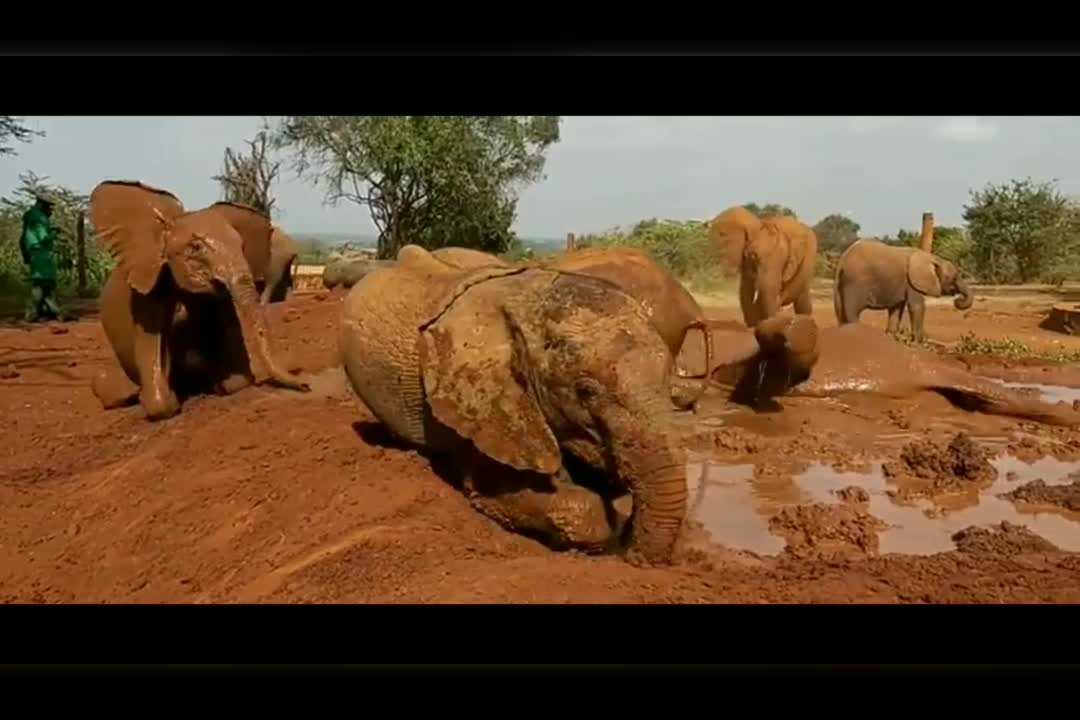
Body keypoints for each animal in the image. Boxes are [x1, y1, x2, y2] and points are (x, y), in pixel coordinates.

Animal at [89, 178, 311, 423]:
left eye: (242, 246)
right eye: (195, 248)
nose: (305, 385)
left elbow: (234, 373)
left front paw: (224, 383)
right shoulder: (149, 286)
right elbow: (153, 347)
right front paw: (161, 401)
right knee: (108, 384)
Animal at [829, 237, 976, 343]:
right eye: (954, 277)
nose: (957, 300)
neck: (933, 258)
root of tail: (842, 260)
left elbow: (896, 308)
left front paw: (892, 336)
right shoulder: (912, 281)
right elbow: (917, 306)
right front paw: (919, 341)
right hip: (854, 283)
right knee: (852, 313)